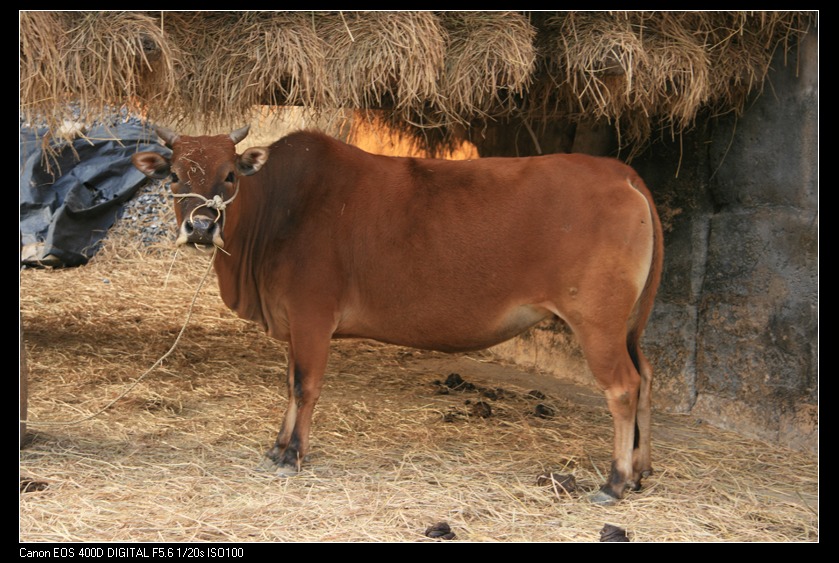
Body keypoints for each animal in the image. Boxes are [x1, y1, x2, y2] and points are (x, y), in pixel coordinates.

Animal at [133, 125, 664, 504]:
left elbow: (305, 387)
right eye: (174, 175)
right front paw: (277, 447)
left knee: (623, 387)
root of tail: (618, 172)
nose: (201, 226)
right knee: (646, 377)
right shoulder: (294, 326)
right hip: (628, 327)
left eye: (230, 174)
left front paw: (293, 455)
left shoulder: (311, 318)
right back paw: (640, 472)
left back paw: (615, 481)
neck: (280, 210)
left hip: (597, 322)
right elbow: (289, 385)